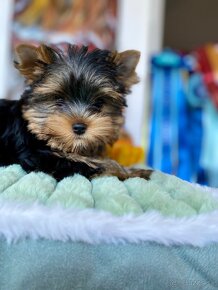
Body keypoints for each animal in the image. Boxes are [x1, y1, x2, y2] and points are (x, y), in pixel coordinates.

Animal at [0, 44, 152, 180]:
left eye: (99, 103)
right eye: (59, 99)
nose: (79, 127)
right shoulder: (43, 159)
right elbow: (97, 164)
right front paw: (131, 172)